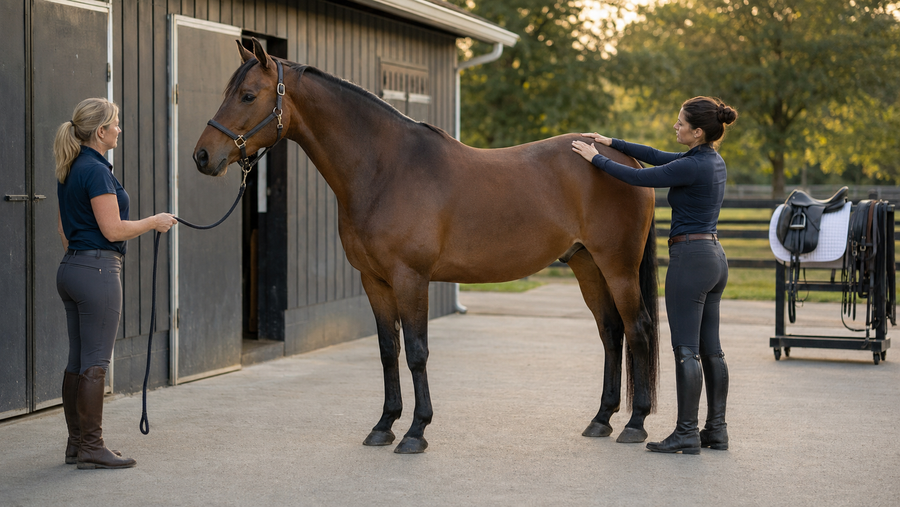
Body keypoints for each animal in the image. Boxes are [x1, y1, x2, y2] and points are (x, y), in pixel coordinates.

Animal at [193, 38, 659, 454]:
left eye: (248, 95)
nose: (202, 156)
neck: (386, 170)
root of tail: (626, 159)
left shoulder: (410, 278)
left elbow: (417, 353)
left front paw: (416, 431)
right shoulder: (374, 281)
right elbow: (388, 352)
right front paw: (383, 426)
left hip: (617, 266)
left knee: (638, 329)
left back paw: (635, 424)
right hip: (586, 264)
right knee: (611, 331)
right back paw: (601, 419)